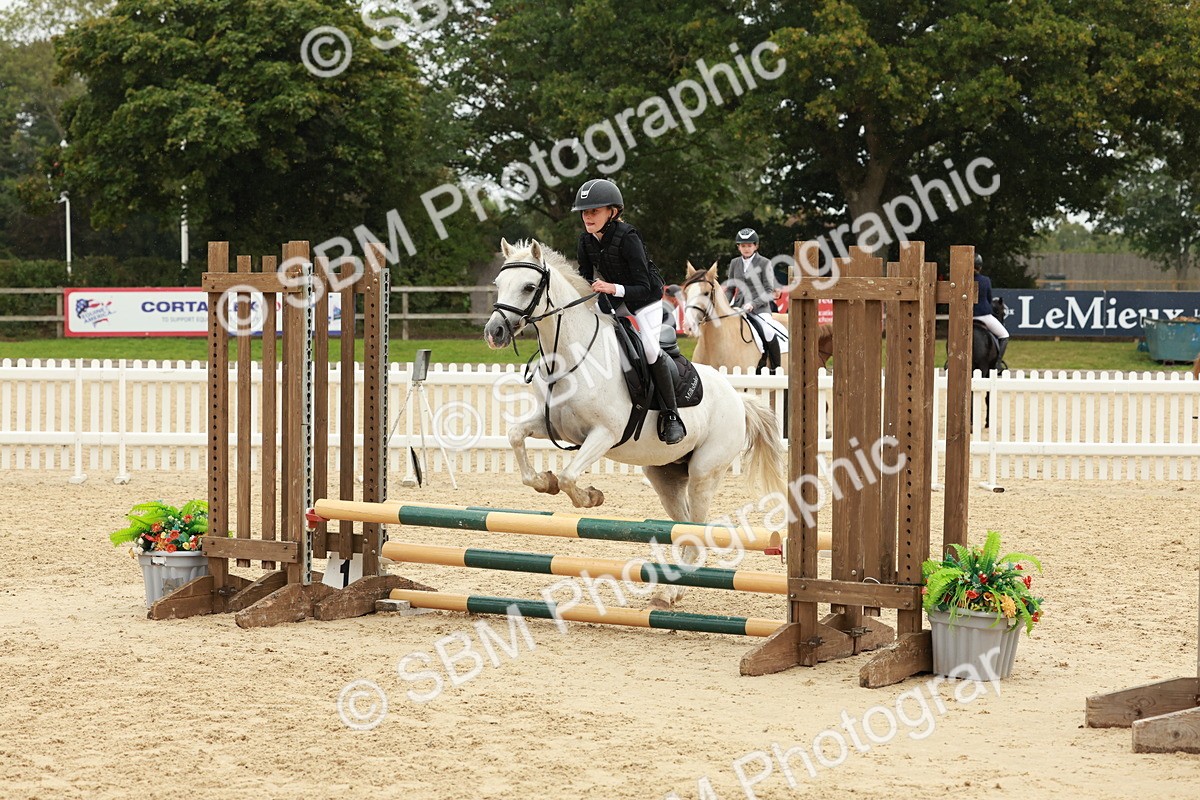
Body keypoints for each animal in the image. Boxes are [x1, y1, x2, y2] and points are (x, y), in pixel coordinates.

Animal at [484, 239, 788, 607]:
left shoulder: (604, 434)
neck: (571, 356)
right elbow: (516, 436)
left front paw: (590, 497)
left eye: (529, 287)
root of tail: (739, 400)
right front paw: (544, 482)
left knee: (697, 529)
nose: (494, 332)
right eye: (499, 284)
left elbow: (570, 476)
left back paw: (669, 593)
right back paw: (671, 590)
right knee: (683, 526)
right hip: (665, 475)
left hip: (705, 472)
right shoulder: (553, 426)